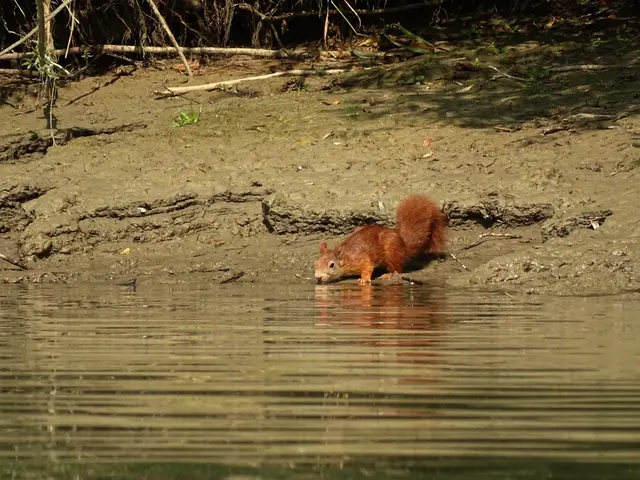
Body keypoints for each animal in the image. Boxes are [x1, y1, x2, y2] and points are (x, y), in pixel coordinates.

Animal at [314, 194, 448, 285]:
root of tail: (403, 245)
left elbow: (367, 267)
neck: (345, 258)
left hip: (390, 250)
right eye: (315, 263)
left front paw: (363, 279)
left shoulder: (360, 259)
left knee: (397, 269)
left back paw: (388, 274)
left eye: (331, 265)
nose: (318, 277)